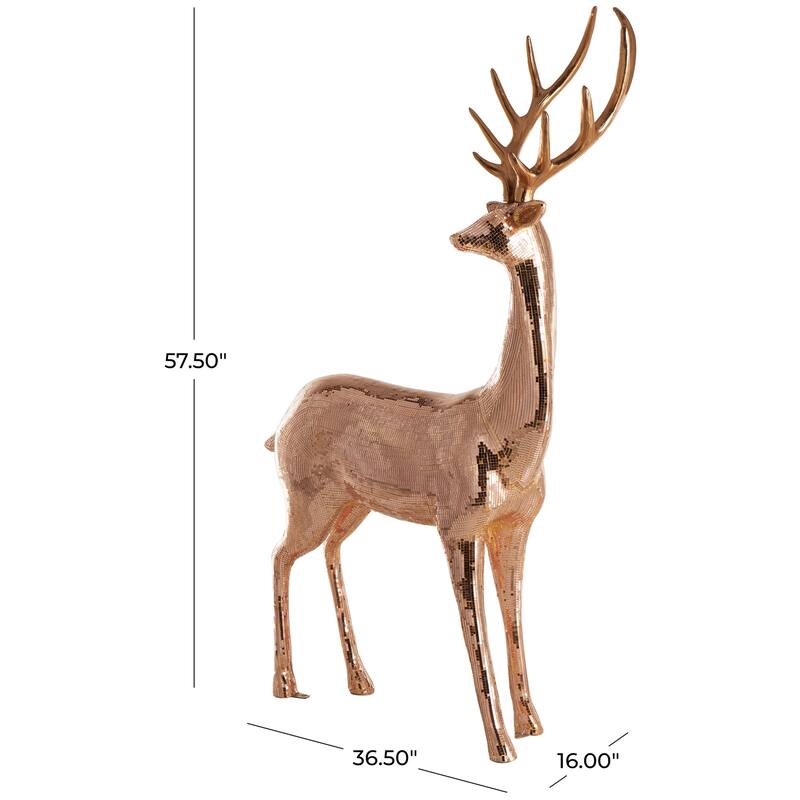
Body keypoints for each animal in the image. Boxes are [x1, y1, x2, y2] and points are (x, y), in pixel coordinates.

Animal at [265, 7, 636, 763]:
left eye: (498, 220)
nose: (457, 234)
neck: (508, 434)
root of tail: (279, 419)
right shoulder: (454, 524)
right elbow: (476, 632)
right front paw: (500, 748)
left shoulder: (515, 527)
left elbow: (514, 619)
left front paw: (534, 725)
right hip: (307, 494)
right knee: (277, 555)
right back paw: (286, 686)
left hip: (352, 503)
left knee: (327, 554)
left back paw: (360, 681)